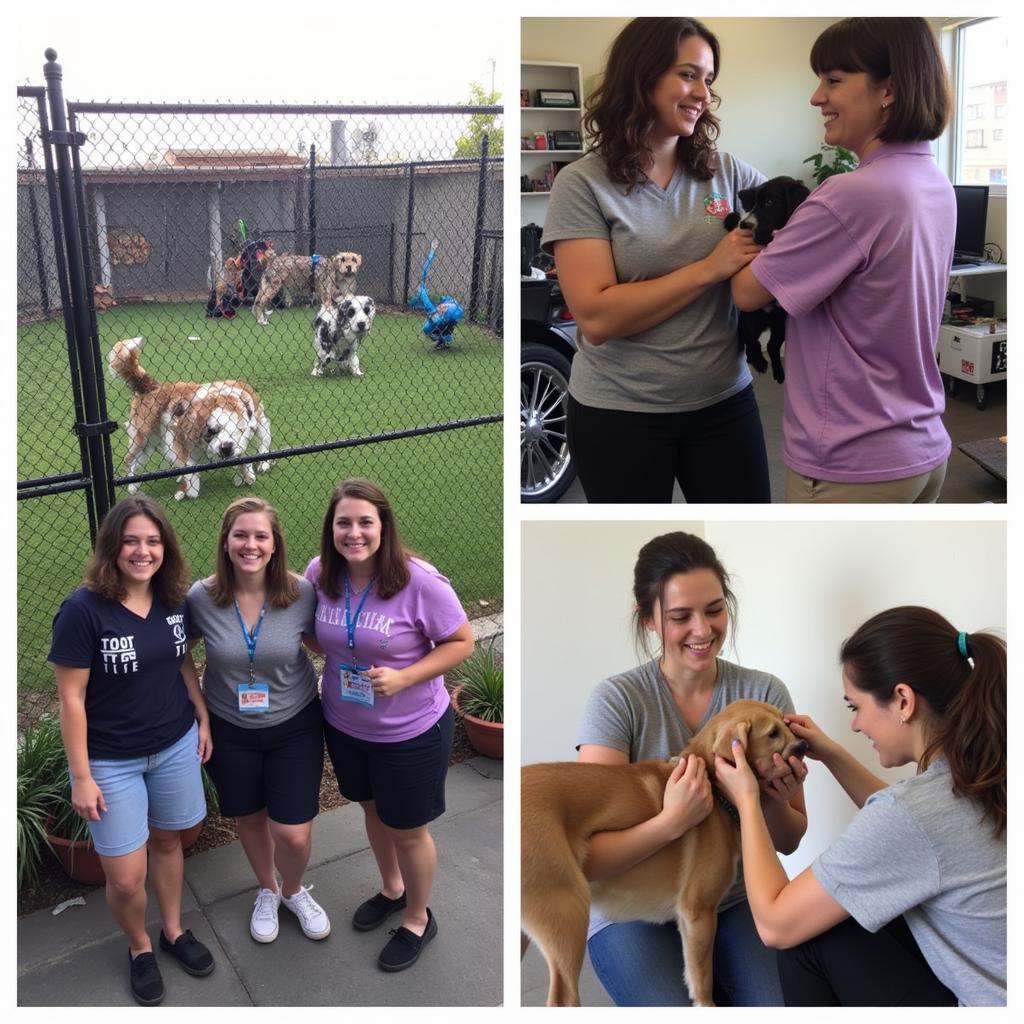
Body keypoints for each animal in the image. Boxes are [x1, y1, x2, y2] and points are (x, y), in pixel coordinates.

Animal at [108, 335, 272, 499]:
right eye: (211, 431)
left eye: (236, 431)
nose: (225, 448)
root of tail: (153, 385)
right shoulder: (179, 438)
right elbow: (189, 471)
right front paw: (188, 490)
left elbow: (242, 457)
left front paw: (246, 477)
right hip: (142, 438)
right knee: (130, 461)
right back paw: (134, 487)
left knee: (264, 438)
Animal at [524, 700, 802, 1003]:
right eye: (773, 733)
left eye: (786, 723)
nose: (803, 746)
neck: (715, 788)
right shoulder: (697, 912)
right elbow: (702, 980)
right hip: (567, 919)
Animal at [724, 176, 811, 385]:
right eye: (753, 202)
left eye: (769, 203)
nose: (744, 225)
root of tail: (767, 321)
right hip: (751, 318)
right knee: (749, 339)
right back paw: (758, 361)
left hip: (780, 323)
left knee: (770, 345)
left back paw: (777, 371)